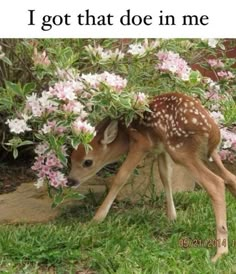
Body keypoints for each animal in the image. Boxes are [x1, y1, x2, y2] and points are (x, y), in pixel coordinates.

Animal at [67, 91, 235, 262]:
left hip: (181, 150)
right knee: (230, 178)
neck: (124, 134)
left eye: (88, 162)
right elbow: (165, 176)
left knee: (215, 183)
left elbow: (121, 177)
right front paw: (172, 217)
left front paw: (96, 219)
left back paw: (220, 253)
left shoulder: (141, 144)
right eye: (71, 158)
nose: (70, 180)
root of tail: (213, 131)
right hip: (206, 153)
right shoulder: (161, 149)